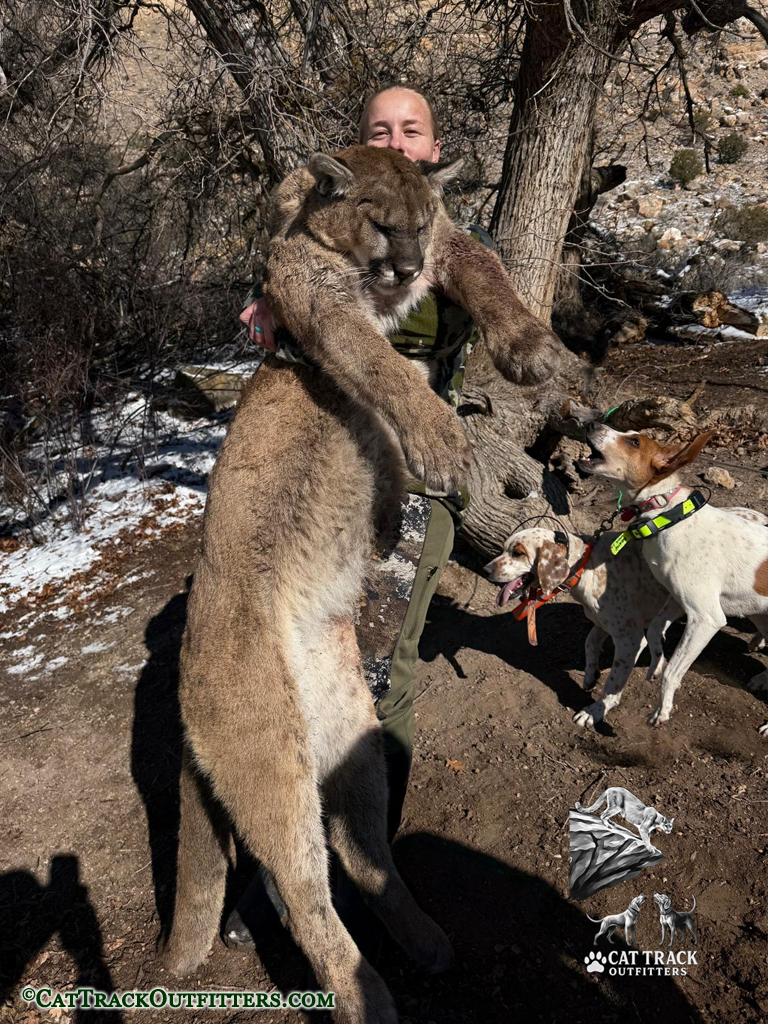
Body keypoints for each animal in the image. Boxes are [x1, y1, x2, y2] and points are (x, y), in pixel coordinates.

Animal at [164, 146, 562, 1023]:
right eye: (381, 223)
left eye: (419, 221)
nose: (407, 268)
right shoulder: (319, 299)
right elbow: (383, 366)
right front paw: (444, 441)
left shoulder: (450, 244)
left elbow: (487, 268)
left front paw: (530, 348)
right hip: (267, 749)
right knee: (299, 892)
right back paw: (365, 997)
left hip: (353, 732)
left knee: (359, 851)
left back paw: (423, 940)